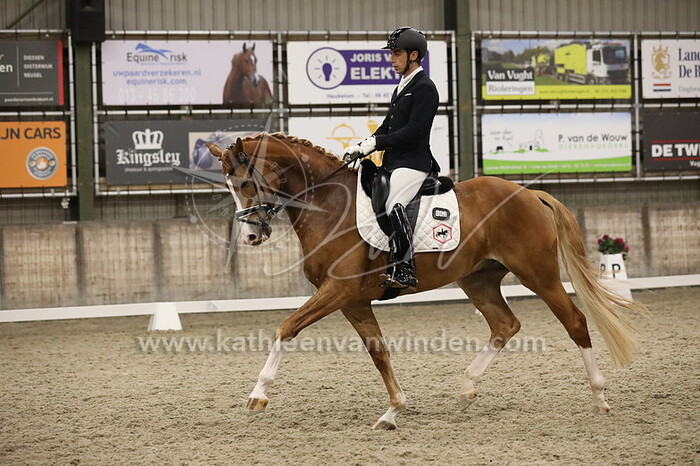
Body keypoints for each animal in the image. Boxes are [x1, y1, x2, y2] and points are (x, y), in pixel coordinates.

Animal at [206, 133, 647, 430]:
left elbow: (286, 328)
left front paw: (258, 395)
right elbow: (379, 353)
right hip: (478, 279)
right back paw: (467, 387)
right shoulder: (352, 300)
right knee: (505, 324)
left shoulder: (338, 291)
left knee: (575, 322)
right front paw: (393, 411)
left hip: (539, 274)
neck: (330, 206)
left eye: (243, 183)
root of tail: (529, 193)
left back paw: (600, 397)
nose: (252, 236)